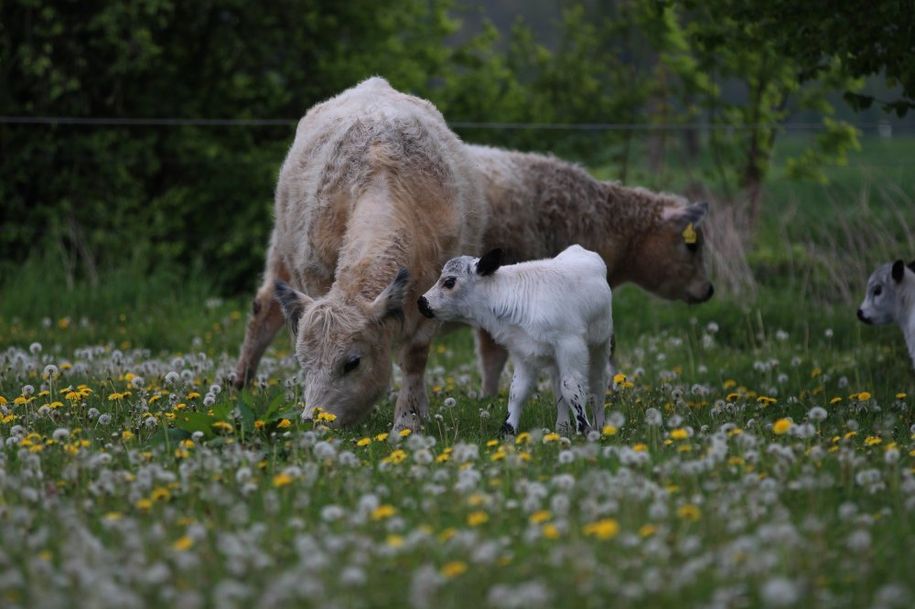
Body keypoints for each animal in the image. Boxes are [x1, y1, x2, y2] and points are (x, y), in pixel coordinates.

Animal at [422, 242, 616, 432]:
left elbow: (572, 387)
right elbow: (517, 391)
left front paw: (584, 429)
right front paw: (507, 430)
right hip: (555, 360)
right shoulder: (522, 351)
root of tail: (582, 250)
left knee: (598, 383)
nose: (422, 302)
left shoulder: (570, 346)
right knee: (557, 386)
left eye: (449, 282)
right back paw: (561, 428)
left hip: (600, 344)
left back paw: (600, 426)